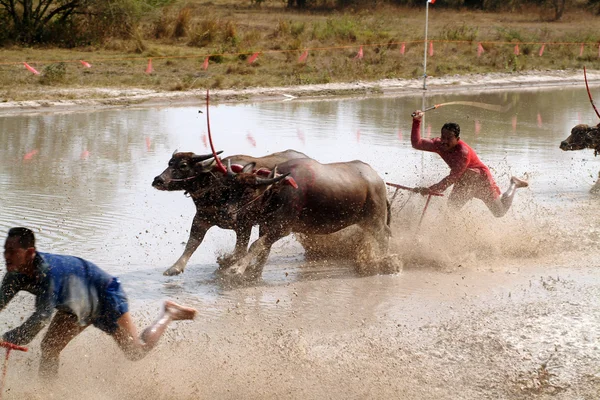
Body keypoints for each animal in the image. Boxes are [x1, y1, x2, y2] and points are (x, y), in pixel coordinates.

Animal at [150, 148, 310, 276]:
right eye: (169, 163)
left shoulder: (244, 226)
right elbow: (192, 243)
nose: (158, 180)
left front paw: (228, 263)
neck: (219, 187)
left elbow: (240, 250)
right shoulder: (201, 218)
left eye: (183, 165)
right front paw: (175, 267)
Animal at [218, 156, 392, 278]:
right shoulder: (266, 226)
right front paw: (255, 273)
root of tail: (378, 181)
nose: (226, 212)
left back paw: (387, 263)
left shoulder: (282, 229)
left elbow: (256, 245)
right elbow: (264, 251)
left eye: (248, 192)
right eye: (231, 188)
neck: (278, 192)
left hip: (375, 220)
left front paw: (236, 269)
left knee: (384, 238)